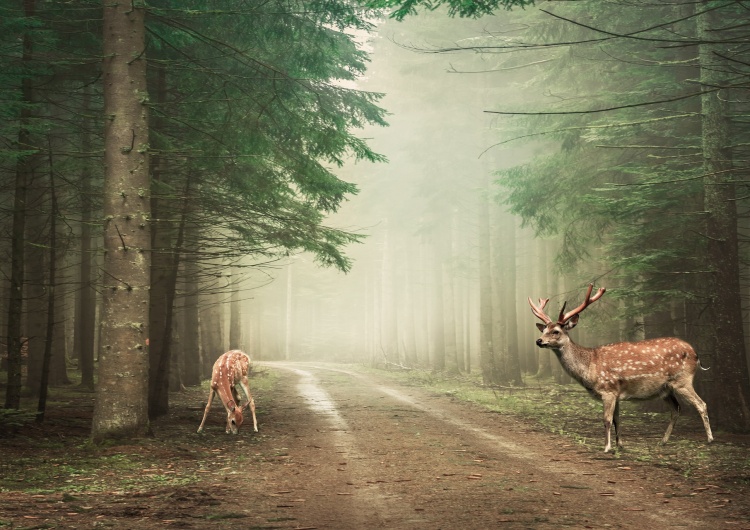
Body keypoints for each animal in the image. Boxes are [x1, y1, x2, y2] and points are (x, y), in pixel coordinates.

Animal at [528, 282, 716, 452]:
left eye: (556, 331)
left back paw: (710, 440)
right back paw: (662, 441)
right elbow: (617, 419)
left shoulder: (608, 390)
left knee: (701, 404)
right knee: (676, 409)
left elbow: (606, 419)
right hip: (666, 389)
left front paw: (607, 447)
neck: (590, 367)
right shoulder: (616, 393)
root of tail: (695, 354)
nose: (539, 341)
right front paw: (620, 445)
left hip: (682, 380)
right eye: (543, 329)